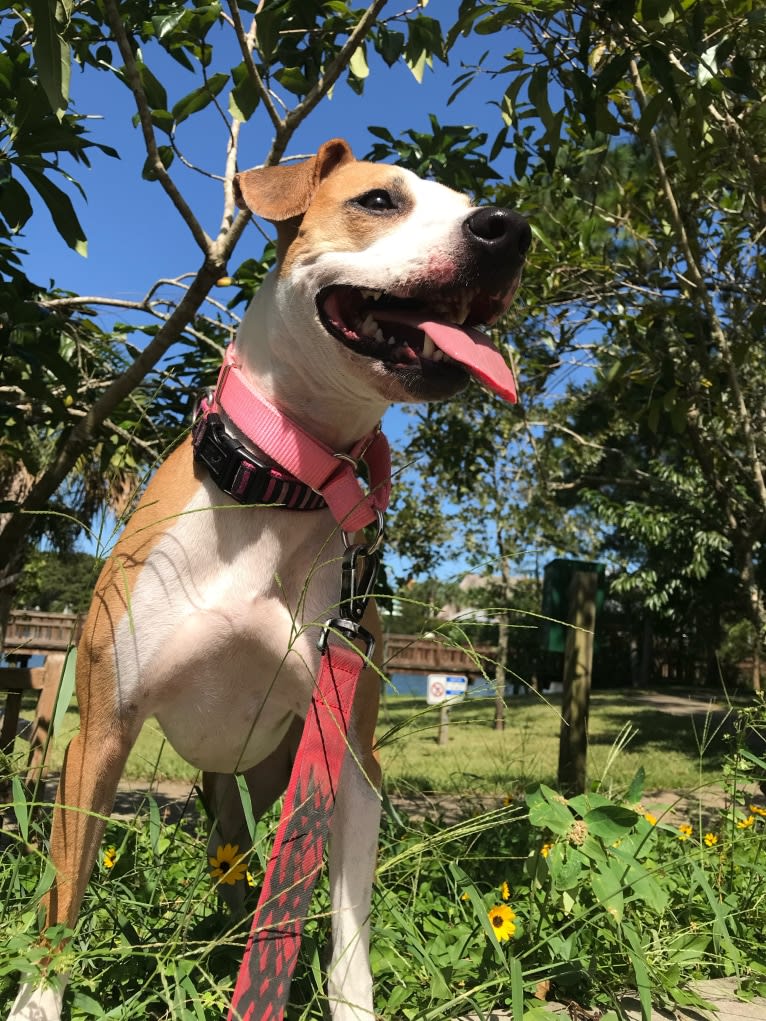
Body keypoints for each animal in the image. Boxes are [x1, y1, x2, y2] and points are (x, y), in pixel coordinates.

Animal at [9, 137, 531, 1021]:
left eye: (470, 202)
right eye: (379, 200)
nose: (509, 230)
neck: (281, 485)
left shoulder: (351, 759)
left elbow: (347, 931)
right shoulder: (99, 735)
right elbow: (63, 899)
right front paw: (38, 1000)